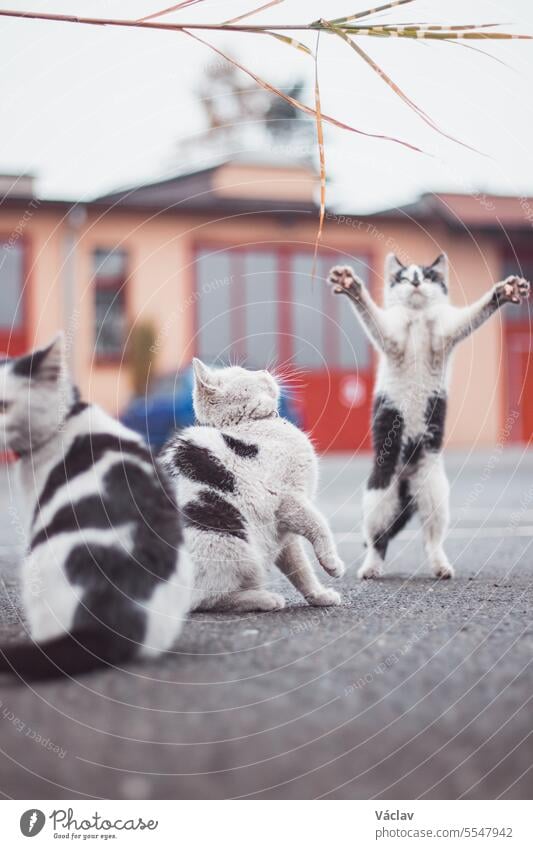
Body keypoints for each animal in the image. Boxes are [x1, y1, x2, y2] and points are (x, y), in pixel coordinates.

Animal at [158, 358, 342, 608]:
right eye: (242, 371)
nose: (263, 370)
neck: (248, 425)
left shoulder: (283, 528)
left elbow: (299, 567)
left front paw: (318, 595)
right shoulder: (288, 499)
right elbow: (319, 525)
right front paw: (332, 563)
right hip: (230, 542)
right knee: (209, 599)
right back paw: (264, 599)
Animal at [326, 255, 528, 580]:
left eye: (429, 275)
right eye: (404, 277)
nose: (417, 281)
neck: (419, 318)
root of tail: (407, 482)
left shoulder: (444, 335)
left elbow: (471, 315)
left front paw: (504, 292)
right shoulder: (392, 338)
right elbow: (373, 316)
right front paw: (350, 286)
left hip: (435, 492)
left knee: (432, 538)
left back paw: (441, 566)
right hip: (379, 493)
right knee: (377, 539)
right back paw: (370, 568)